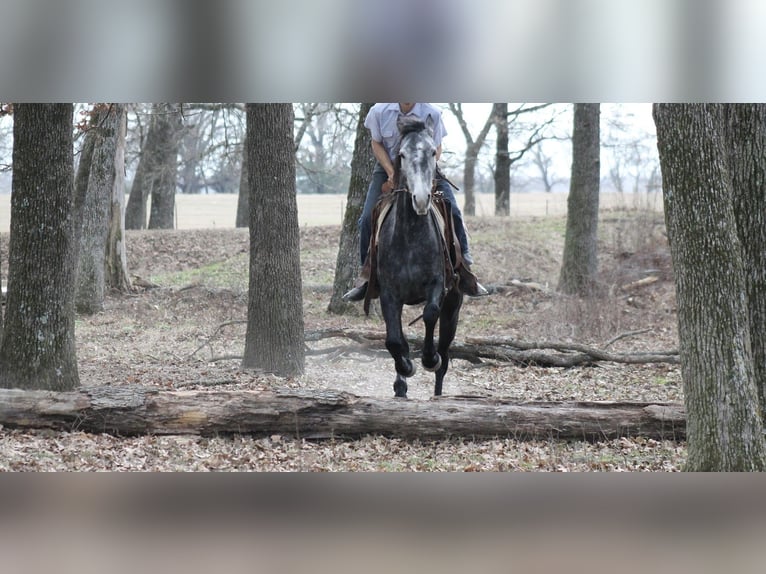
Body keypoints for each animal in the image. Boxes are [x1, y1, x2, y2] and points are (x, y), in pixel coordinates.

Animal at [375, 115, 464, 398]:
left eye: (432, 151)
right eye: (402, 154)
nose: (422, 199)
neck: (411, 238)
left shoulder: (437, 286)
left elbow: (429, 314)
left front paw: (428, 359)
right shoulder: (389, 294)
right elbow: (395, 340)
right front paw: (404, 369)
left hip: (453, 307)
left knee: (445, 353)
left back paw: (438, 390)